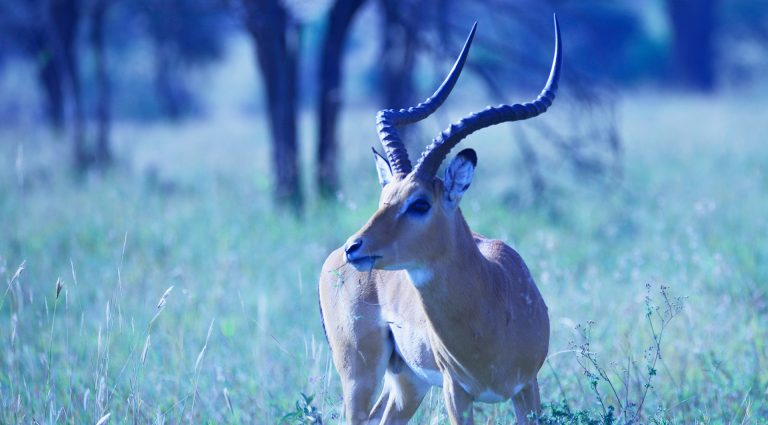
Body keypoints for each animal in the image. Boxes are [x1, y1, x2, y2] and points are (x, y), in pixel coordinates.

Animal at [319, 16, 561, 425]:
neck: (493, 298)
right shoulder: (455, 392)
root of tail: (330, 259)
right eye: (384, 199)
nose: (356, 247)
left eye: (419, 204)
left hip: (406, 383)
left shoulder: (528, 388)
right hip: (359, 376)